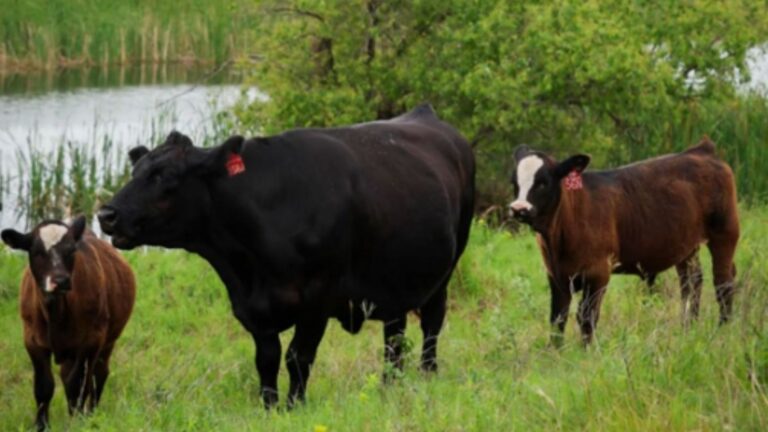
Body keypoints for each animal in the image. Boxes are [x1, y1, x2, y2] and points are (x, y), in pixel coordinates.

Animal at [1, 216, 136, 431]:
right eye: (37, 251)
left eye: (71, 250)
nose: (61, 280)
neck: (56, 312)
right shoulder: (32, 340)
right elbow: (44, 385)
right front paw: (41, 424)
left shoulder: (91, 340)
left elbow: (78, 384)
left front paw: (77, 421)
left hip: (108, 342)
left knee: (98, 375)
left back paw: (91, 413)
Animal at [97, 104, 475, 408]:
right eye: (136, 172)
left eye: (166, 176)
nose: (106, 214)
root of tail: (425, 114)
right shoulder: (252, 308)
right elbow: (267, 359)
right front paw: (269, 406)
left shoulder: (317, 300)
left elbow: (298, 357)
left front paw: (295, 406)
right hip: (394, 281)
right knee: (394, 337)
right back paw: (390, 385)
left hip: (446, 268)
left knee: (431, 325)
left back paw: (427, 375)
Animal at [508, 138, 739, 346]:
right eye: (515, 183)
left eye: (543, 183)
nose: (518, 209)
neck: (559, 237)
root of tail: (702, 150)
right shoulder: (557, 276)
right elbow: (557, 317)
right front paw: (555, 352)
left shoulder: (598, 272)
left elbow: (587, 316)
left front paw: (586, 353)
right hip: (686, 247)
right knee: (692, 283)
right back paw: (687, 327)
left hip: (725, 233)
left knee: (723, 283)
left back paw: (722, 331)